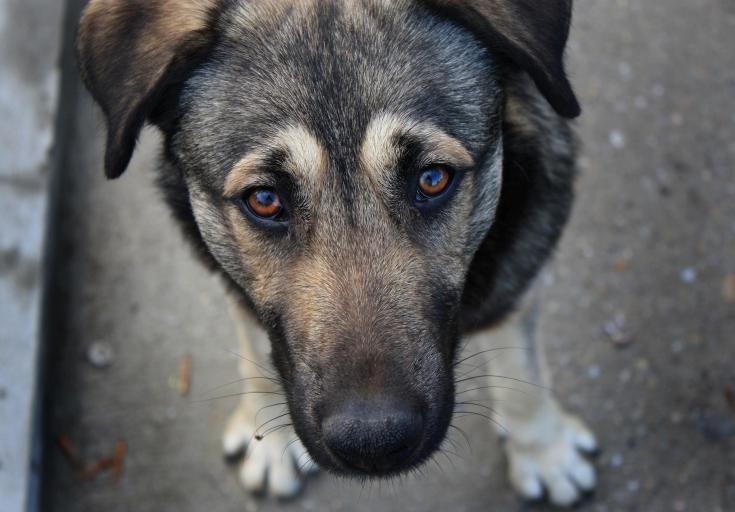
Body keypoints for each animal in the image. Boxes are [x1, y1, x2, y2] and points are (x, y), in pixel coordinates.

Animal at [77, 0, 600, 506]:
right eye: (264, 199)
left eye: (433, 178)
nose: (374, 443)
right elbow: (256, 346)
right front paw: (268, 435)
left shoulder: (520, 264)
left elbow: (522, 367)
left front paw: (544, 451)